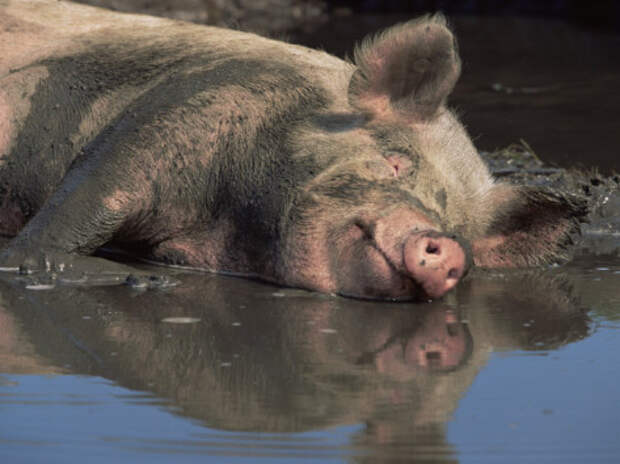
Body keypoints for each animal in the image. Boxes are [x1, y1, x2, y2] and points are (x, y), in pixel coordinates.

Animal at [0, 0, 588, 300]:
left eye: (461, 226)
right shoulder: (171, 115)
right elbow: (78, 208)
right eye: (395, 159)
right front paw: (140, 279)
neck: (225, 229)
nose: (447, 245)